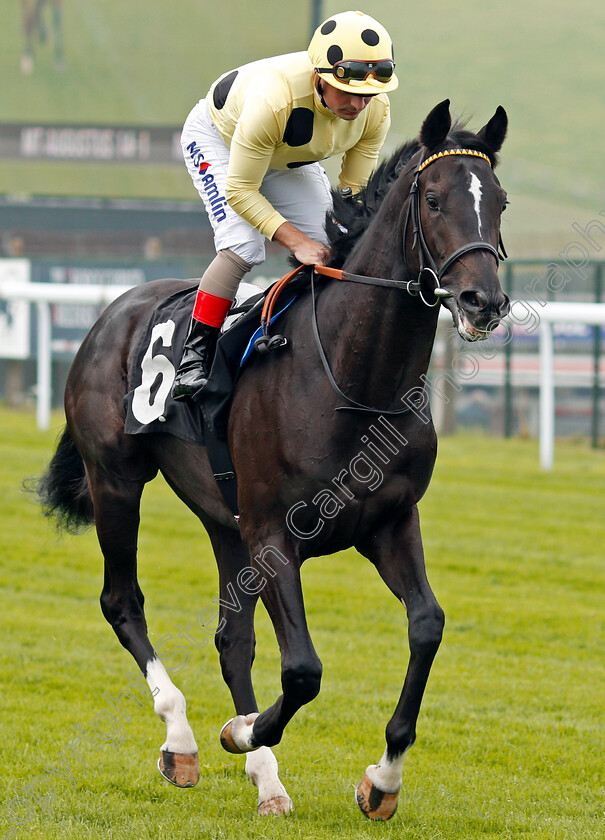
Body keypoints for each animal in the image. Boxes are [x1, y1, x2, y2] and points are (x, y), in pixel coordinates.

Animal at [36, 100, 510, 820]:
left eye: (500, 202)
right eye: (432, 199)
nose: (484, 301)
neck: (352, 377)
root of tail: (111, 312)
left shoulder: (388, 522)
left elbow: (427, 625)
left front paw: (382, 779)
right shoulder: (273, 535)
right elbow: (304, 670)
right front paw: (239, 731)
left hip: (221, 518)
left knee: (232, 638)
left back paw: (267, 780)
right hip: (116, 480)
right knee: (122, 601)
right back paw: (181, 738)